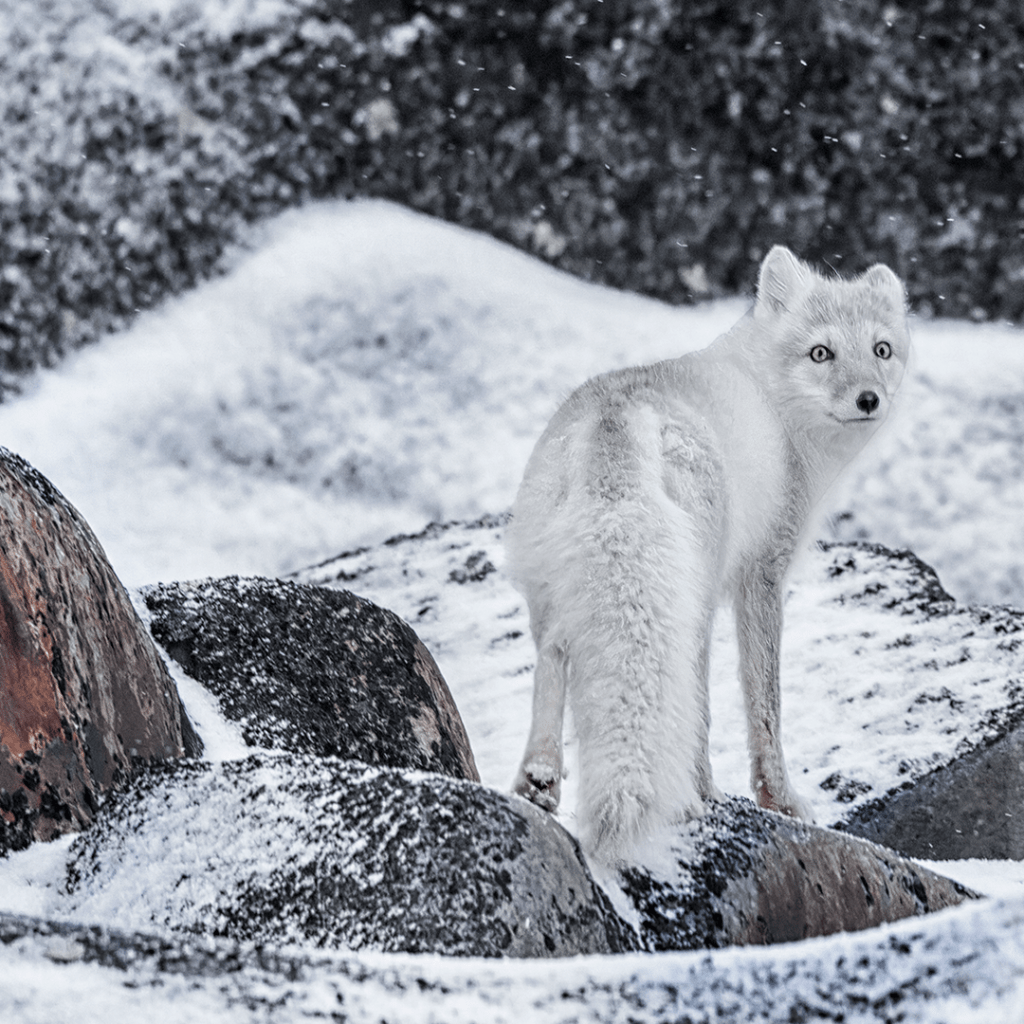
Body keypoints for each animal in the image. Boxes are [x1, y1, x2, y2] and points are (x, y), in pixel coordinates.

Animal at [507, 247, 909, 864]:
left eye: (881, 350)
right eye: (821, 353)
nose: (870, 399)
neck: (774, 405)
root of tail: (619, 413)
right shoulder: (762, 576)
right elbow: (764, 701)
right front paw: (779, 799)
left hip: (554, 589)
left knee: (553, 657)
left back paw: (539, 780)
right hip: (689, 597)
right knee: (691, 698)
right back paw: (700, 793)